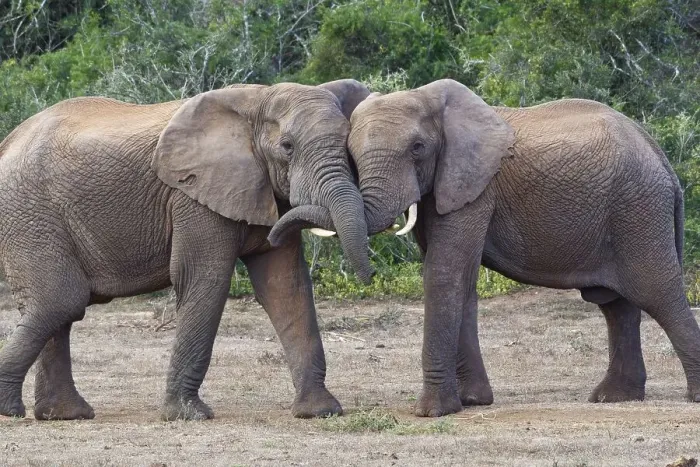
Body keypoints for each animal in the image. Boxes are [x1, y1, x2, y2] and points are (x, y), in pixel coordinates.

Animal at [0, 79, 373, 421]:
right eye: (287, 146)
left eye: (348, 143)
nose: (368, 277)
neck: (258, 102)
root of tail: (9, 141)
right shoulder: (192, 197)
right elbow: (203, 278)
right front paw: (188, 415)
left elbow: (286, 287)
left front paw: (320, 411)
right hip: (30, 213)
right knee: (61, 300)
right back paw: (15, 410)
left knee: (57, 308)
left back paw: (66, 414)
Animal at [272, 78, 700, 417]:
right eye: (351, 153)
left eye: (418, 148)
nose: (274, 236)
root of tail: (661, 157)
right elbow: (462, 280)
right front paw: (473, 402)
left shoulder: (475, 186)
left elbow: (443, 272)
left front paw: (433, 412)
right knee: (617, 305)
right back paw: (614, 398)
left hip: (638, 208)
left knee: (657, 292)